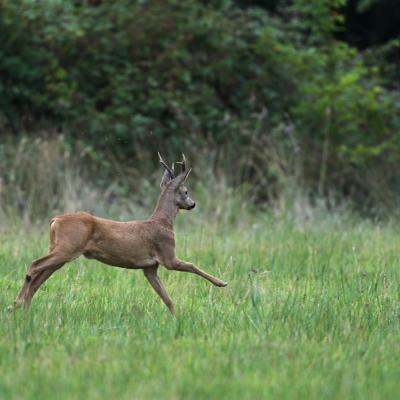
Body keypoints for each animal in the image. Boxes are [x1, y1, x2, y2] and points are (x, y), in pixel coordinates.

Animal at [14, 153, 228, 316]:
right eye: (185, 191)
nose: (193, 204)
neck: (163, 222)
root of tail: (55, 220)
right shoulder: (167, 255)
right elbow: (192, 265)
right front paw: (221, 282)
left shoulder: (150, 267)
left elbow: (167, 298)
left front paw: (176, 318)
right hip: (67, 248)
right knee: (34, 265)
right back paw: (18, 303)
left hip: (61, 251)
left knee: (38, 279)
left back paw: (19, 308)